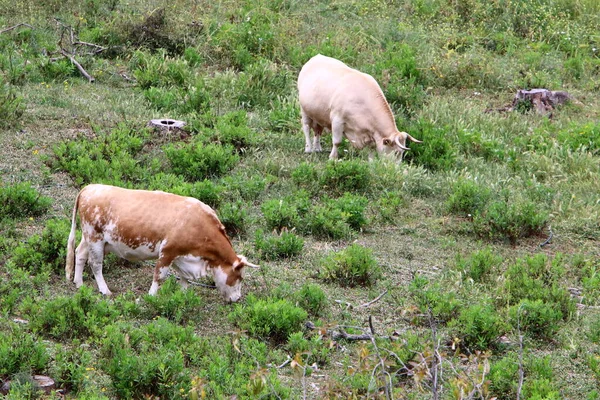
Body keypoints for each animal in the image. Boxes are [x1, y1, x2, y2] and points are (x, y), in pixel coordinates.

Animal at [66, 184, 258, 304]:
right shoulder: (168, 251)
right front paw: (150, 297)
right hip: (95, 237)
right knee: (95, 264)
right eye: (240, 277)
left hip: (92, 239)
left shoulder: (182, 256)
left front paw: (183, 296)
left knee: (80, 253)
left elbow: (185, 277)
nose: (238, 298)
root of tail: (91, 187)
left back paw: (79, 283)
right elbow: (159, 276)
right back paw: (104, 290)